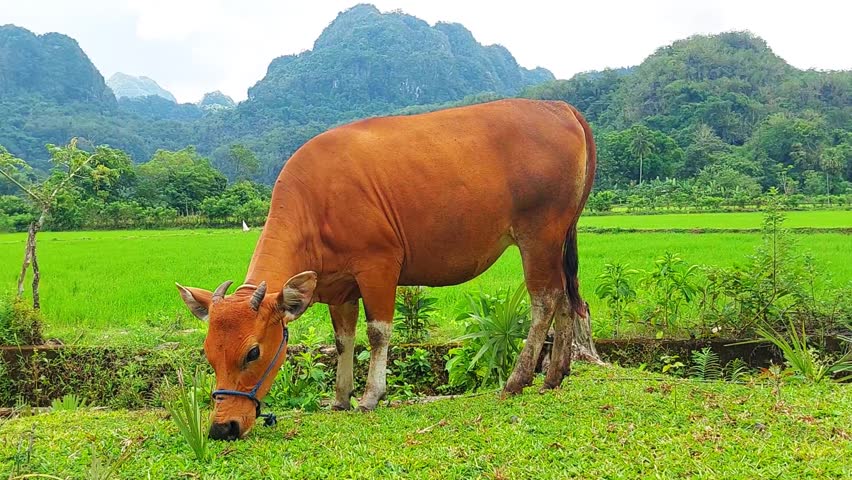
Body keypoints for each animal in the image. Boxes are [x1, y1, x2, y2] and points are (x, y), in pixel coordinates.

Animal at [176, 98, 596, 440]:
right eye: (208, 354)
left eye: (252, 353)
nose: (223, 427)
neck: (318, 201)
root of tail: (559, 107)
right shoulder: (339, 287)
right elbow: (343, 340)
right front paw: (340, 398)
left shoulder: (378, 267)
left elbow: (378, 333)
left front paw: (370, 396)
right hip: (558, 238)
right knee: (565, 299)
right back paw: (554, 375)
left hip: (538, 235)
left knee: (545, 300)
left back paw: (518, 379)